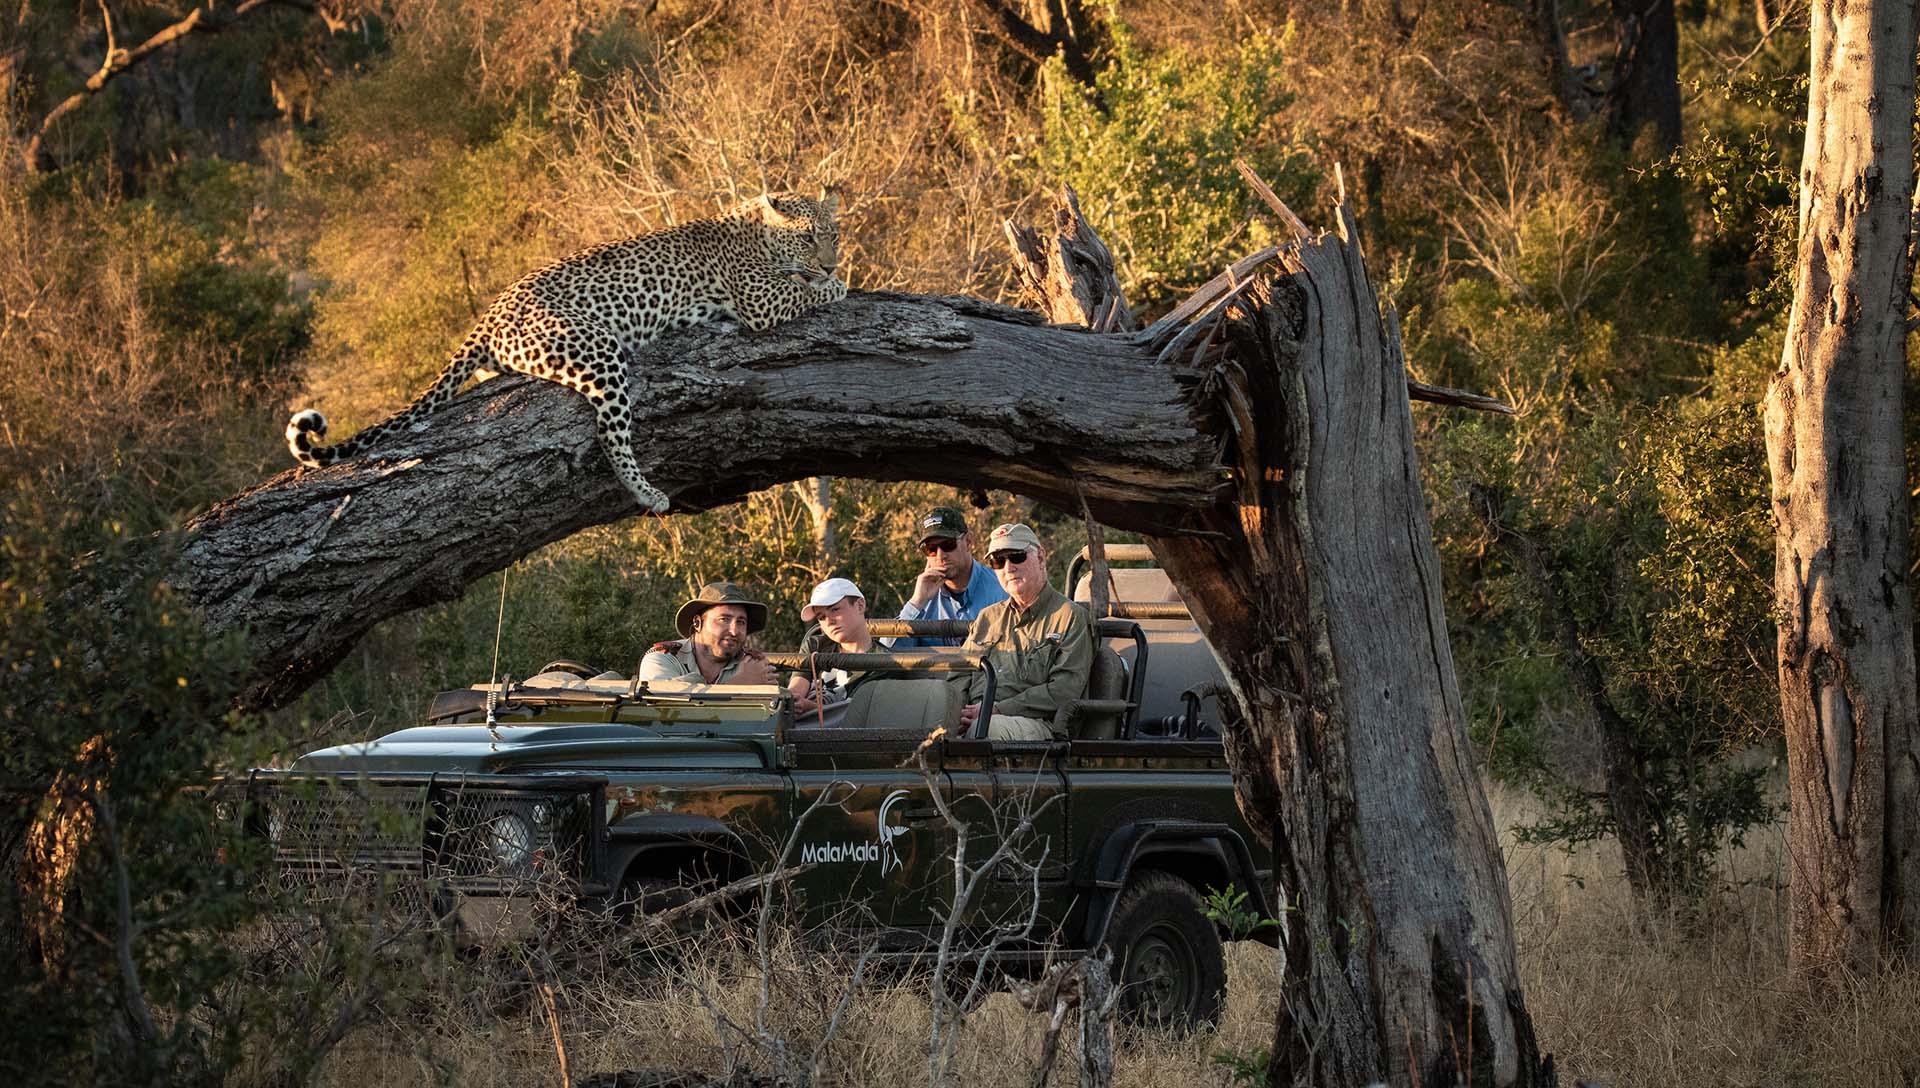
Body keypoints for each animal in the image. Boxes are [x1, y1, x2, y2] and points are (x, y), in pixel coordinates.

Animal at [285, 192, 848, 514]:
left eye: (834, 234)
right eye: (808, 238)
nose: (829, 260)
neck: (757, 231)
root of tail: (488, 314)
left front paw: (836, 276)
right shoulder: (761, 300)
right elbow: (809, 290)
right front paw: (839, 283)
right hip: (597, 349)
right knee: (610, 434)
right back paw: (647, 492)